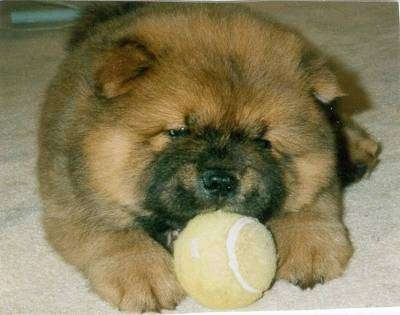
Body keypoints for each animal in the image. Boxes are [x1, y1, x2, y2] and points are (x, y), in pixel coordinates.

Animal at [39, 2, 380, 314]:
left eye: (262, 142)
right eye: (178, 132)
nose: (221, 180)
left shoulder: (320, 170)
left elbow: (310, 203)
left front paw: (310, 247)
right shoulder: (70, 192)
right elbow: (113, 231)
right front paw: (142, 275)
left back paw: (360, 151)